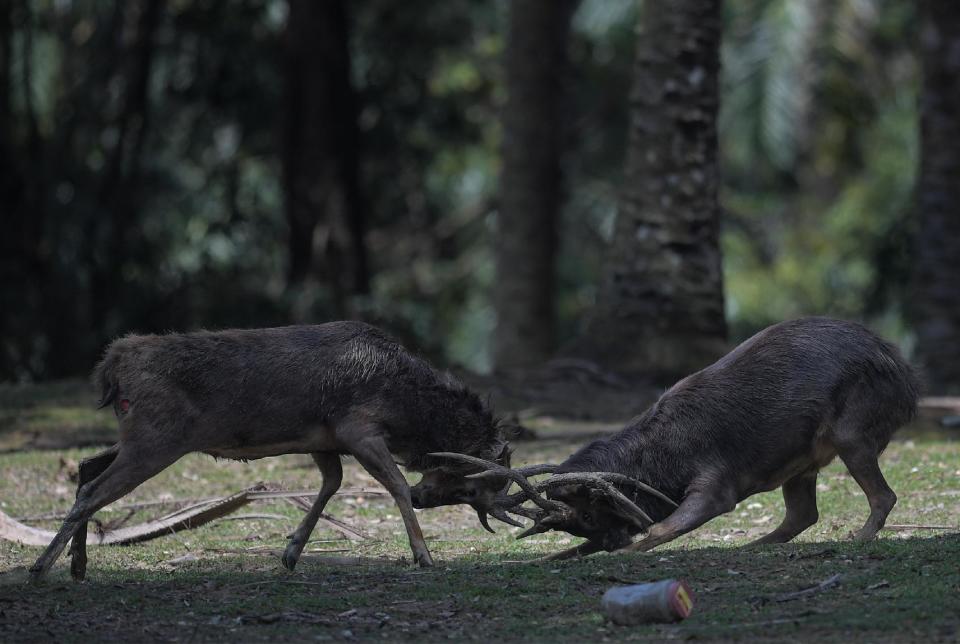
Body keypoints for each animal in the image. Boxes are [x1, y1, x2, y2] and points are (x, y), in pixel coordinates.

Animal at [28, 320, 516, 580]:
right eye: (473, 487)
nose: (425, 496)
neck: (405, 407)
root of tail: (111, 366)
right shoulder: (357, 427)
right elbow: (393, 483)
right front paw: (423, 555)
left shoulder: (323, 439)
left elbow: (331, 484)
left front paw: (291, 552)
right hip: (156, 438)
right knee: (93, 489)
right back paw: (39, 567)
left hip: (139, 436)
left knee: (86, 467)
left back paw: (77, 565)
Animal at [436, 316, 924, 560]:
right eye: (576, 524)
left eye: (589, 514)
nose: (611, 541)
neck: (658, 458)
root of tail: (905, 375)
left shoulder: (716, 487)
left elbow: (661, 528)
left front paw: (625, 553)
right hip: (800, 461)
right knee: (802, 514)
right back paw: (751, 547)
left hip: (850, 434)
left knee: (883, 496)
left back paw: (859, 539)